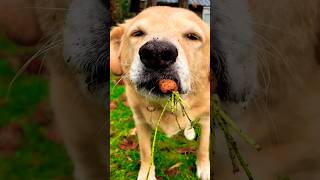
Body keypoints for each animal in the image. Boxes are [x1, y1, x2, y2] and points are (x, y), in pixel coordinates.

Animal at [110, 6, 210, 180]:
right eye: (137, 33)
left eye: (192, 36)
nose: (156, 53)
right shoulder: (140, 122)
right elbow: (145, 151)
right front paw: (146, 173)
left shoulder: (207, 117)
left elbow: (204, 145)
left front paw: (203, 167)